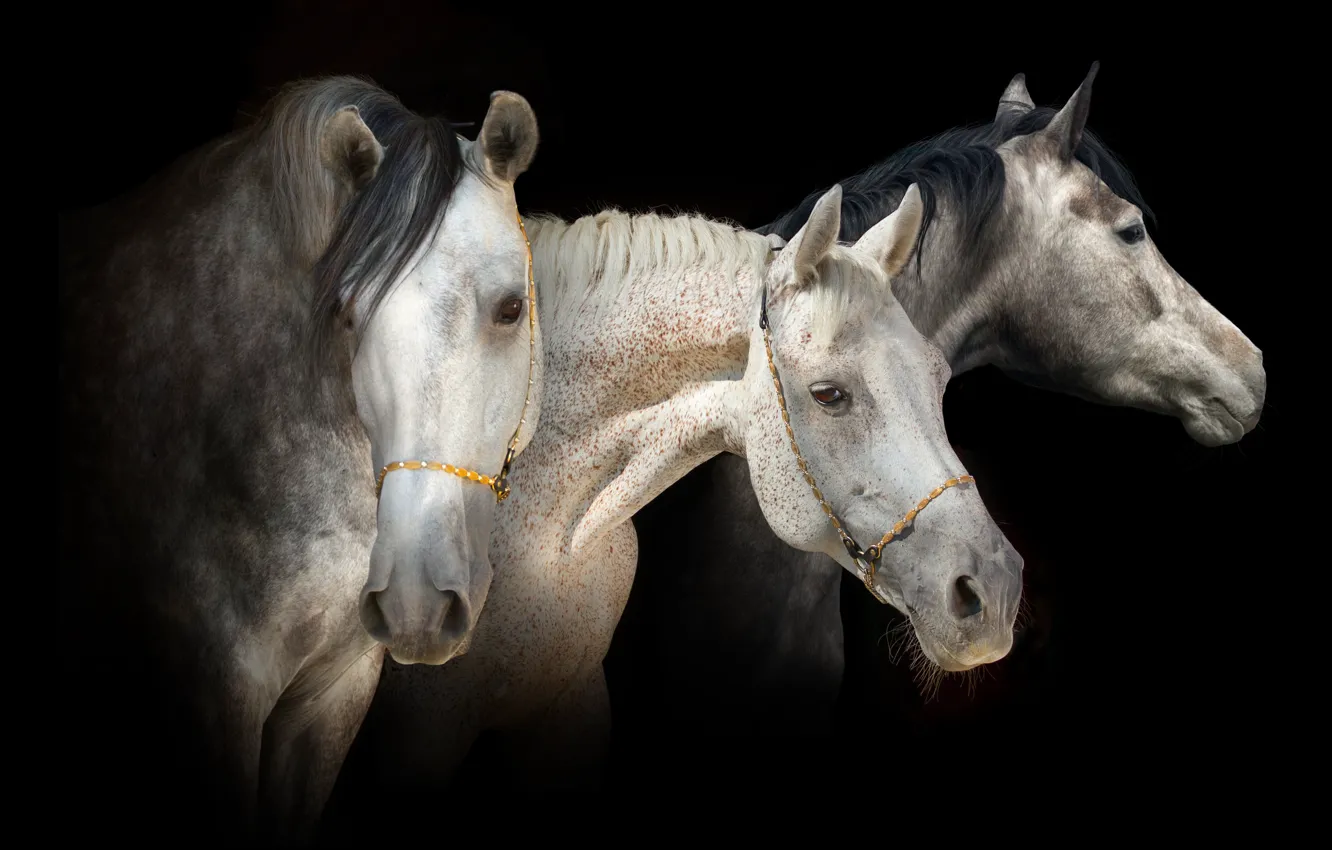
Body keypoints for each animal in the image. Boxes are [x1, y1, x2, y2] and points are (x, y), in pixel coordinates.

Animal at [318, 180, 1024, 820]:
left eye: (937, 377)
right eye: (829, 394)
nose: (993, 590)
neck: (536, 534)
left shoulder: (570, 710)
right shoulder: (420, 735)